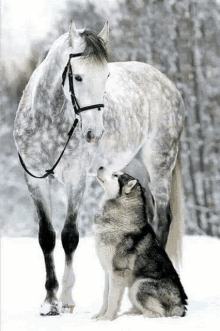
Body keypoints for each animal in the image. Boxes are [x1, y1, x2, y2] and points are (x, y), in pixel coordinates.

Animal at [93, 169, 187, 322]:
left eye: (115, 175)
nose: (100, 166)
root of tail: (181, 307)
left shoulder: (118, 271)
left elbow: (112, 298)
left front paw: (107, 318)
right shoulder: (108, 271)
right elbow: (105, 296)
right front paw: (100, 315)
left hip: (137, 286)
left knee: (158, 314)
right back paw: (131, 313)